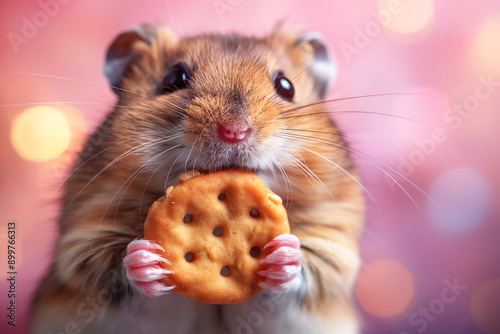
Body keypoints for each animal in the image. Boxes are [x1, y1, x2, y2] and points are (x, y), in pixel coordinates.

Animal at [30, 24, 364, 334]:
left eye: (286, 86)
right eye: (173, 79)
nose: (234, 132)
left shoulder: (332, 256)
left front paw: (284, 257)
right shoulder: (82, 247)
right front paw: (146, 261)